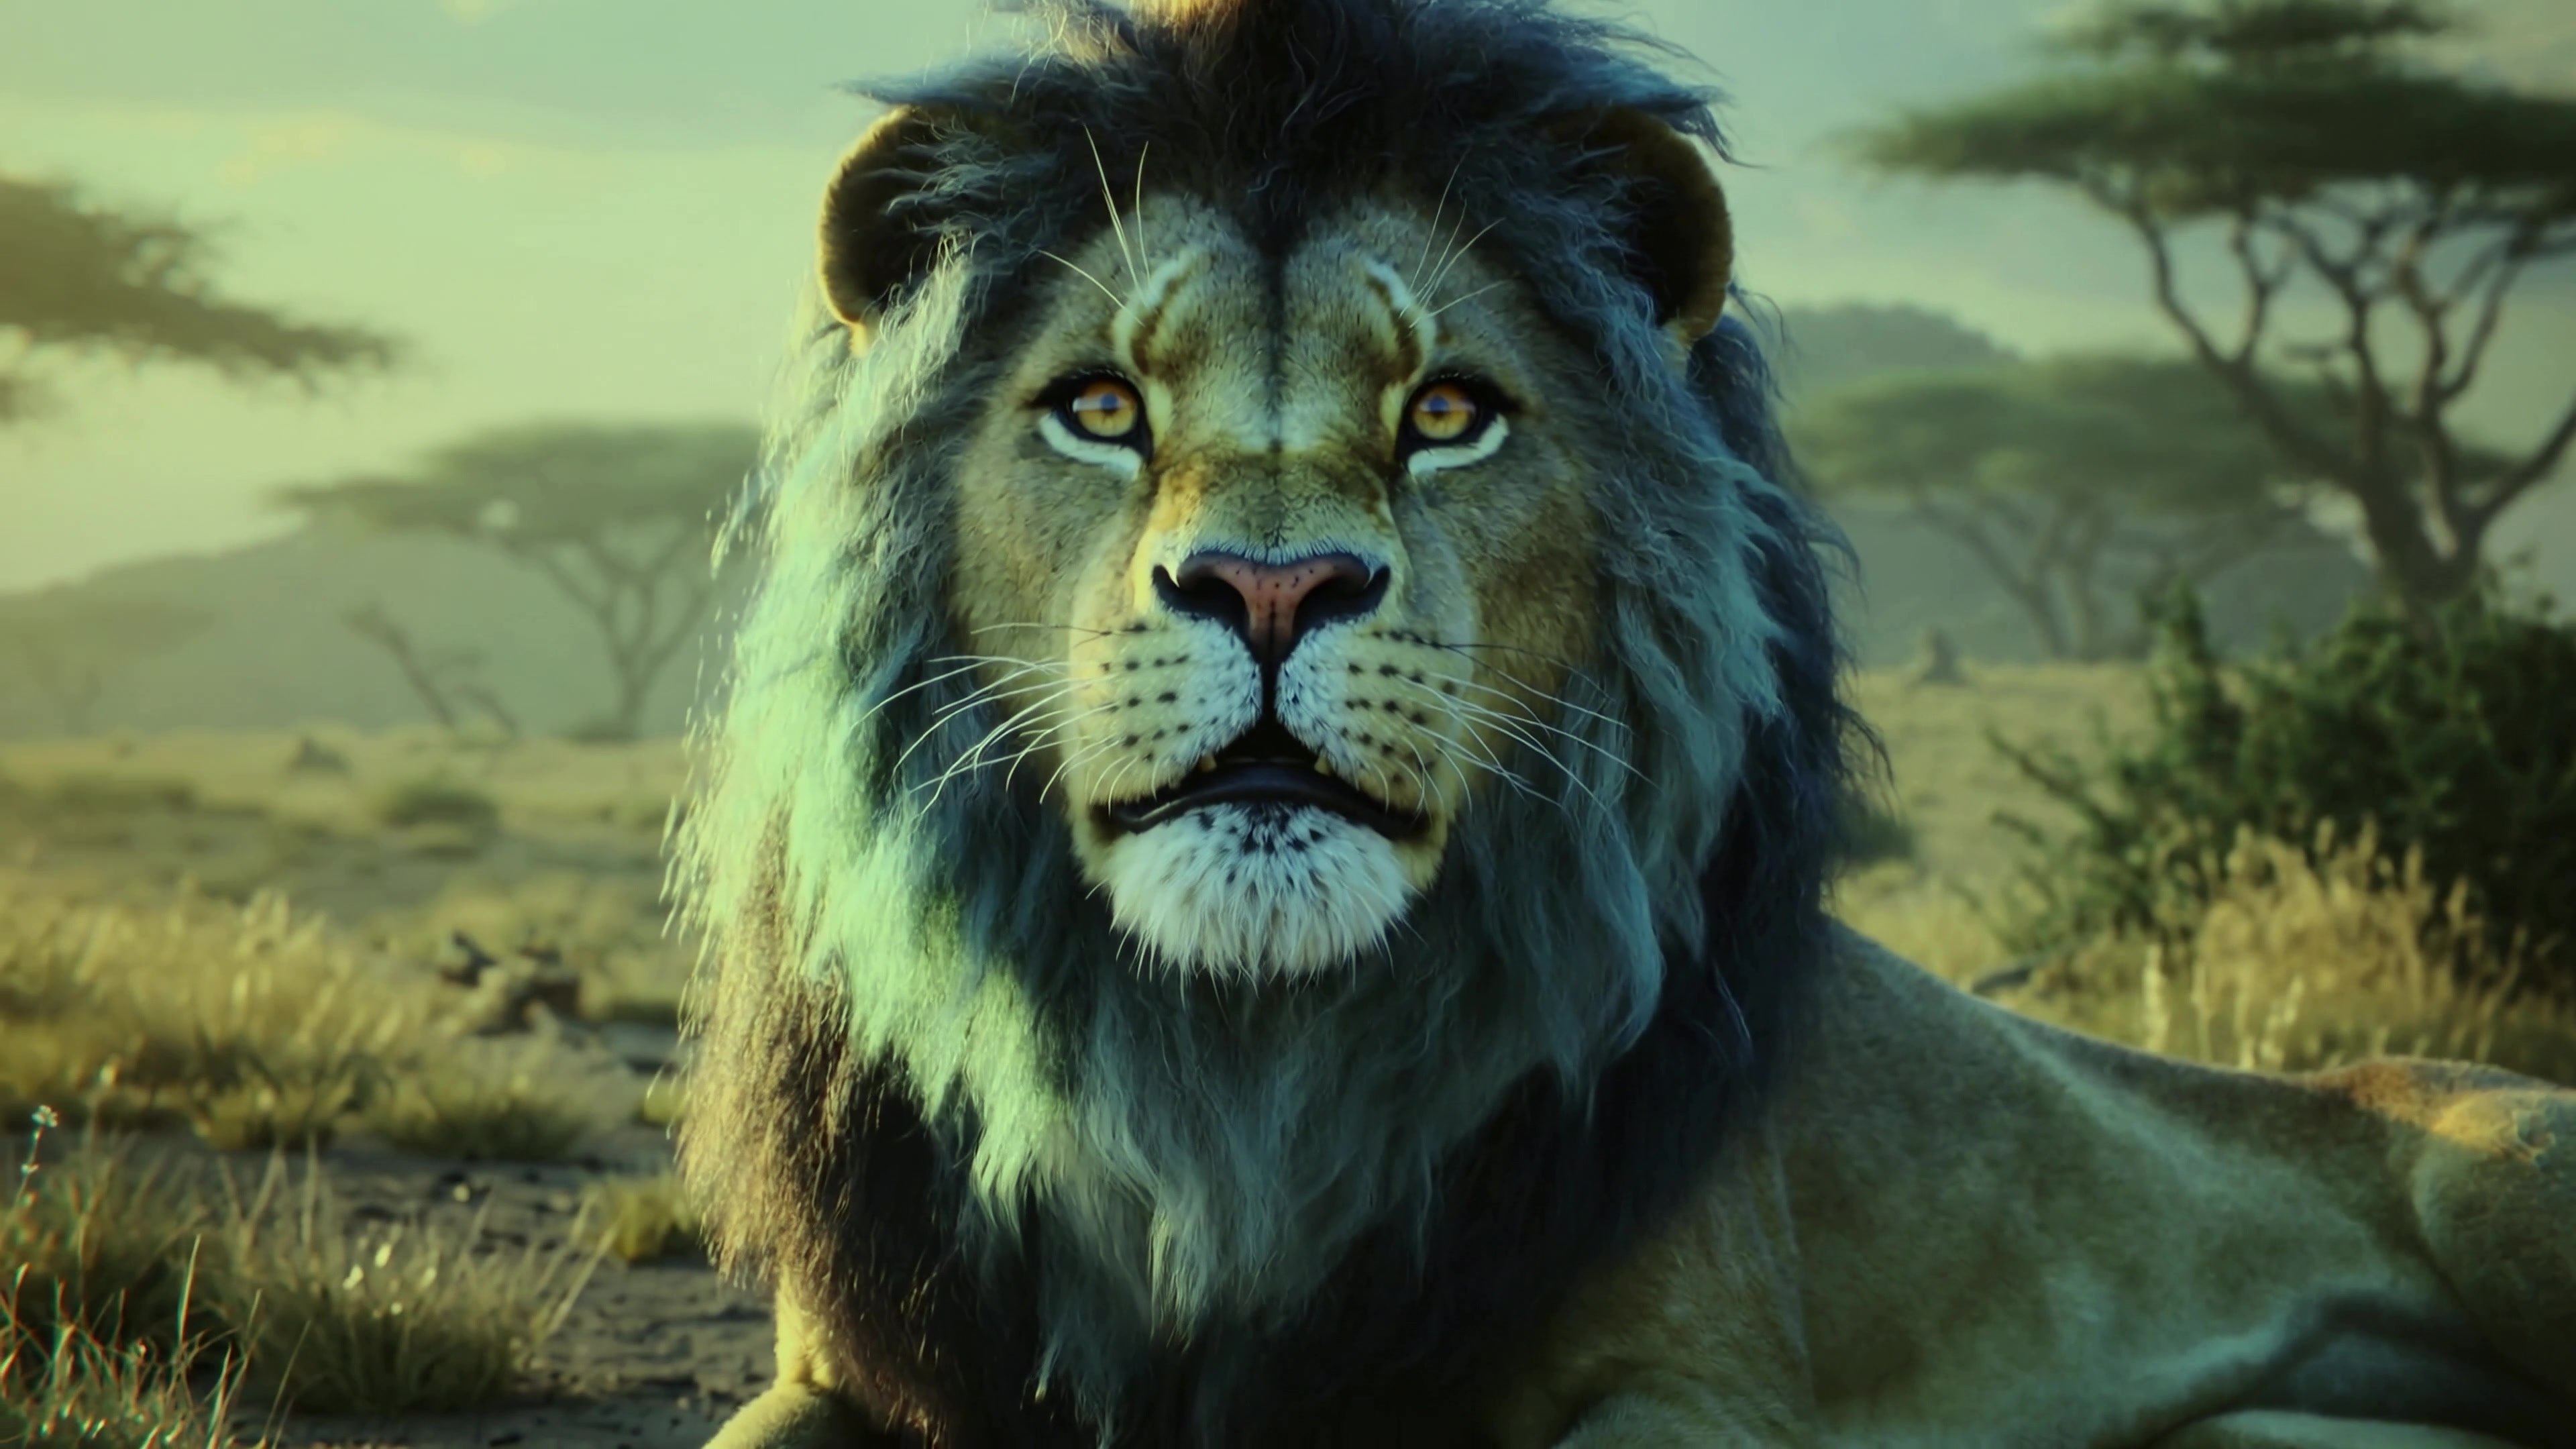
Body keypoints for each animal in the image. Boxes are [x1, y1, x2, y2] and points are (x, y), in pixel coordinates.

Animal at [673, 0, 2576, 1444]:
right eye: (1099, 408)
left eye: (1447, 414)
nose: (1273, 589)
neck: (1240, 1055)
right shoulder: (852, 1365)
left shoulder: (1703, 1380)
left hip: (2503, 1174)